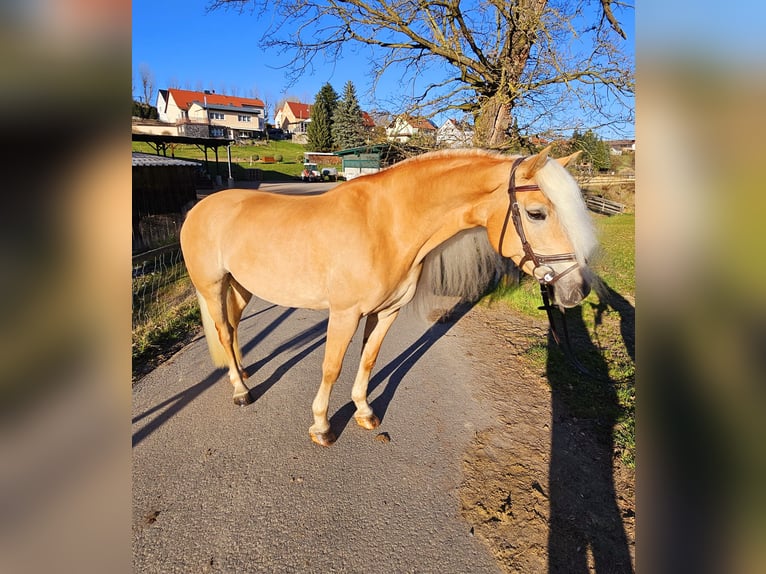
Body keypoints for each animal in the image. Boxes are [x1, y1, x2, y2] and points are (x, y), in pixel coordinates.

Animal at [179, 146, 598, 446]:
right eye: (537, 213)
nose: (576, 289)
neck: (386, 225)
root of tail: (200, 207)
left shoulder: (386, 311)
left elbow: (368, 360)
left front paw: (364, 413)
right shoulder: (344, 313)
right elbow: (331, 366)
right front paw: (322, 427)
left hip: (241, 287)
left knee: (233, 330)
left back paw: (243, 373)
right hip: (212, 286)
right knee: (223, 331)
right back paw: (241, 391)